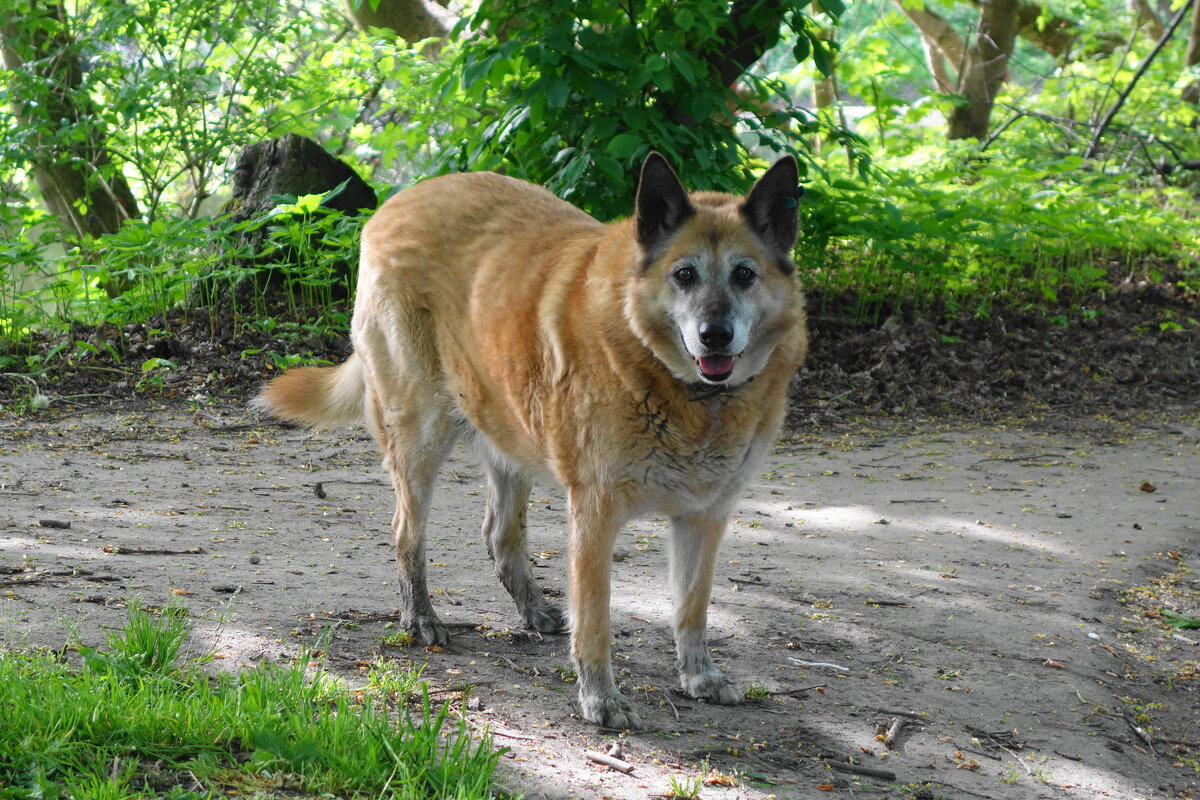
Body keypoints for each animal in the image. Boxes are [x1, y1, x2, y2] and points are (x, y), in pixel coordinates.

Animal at [256, 153, 811, 729]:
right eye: (685, 275)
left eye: (744, 275)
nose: (715, 336)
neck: (687, 393)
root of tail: (397, 201)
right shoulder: (595, 513)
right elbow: (595, 621)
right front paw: (601, 699)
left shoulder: (705, 517)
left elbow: (692, 609)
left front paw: (700, 676)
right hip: (420, 431)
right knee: (405, 532)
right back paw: (421, 618)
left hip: (510, 428)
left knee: (500, 536)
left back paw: (534, 611)